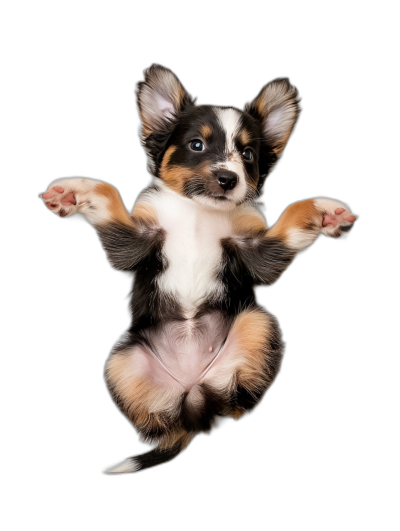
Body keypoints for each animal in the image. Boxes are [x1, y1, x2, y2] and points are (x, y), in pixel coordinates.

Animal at [39, 61, 358, 474]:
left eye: (248, 154)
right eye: (197, 145)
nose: (228, 179)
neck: (198, 210)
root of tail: (190, 396)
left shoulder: (256, 250)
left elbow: (292, 214)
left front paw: (325, 210)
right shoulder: (135, 241)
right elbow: (108, 194)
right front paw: (73, 191)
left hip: (258, 325)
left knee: (224, 403)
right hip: (121, 361)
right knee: (173, 419)